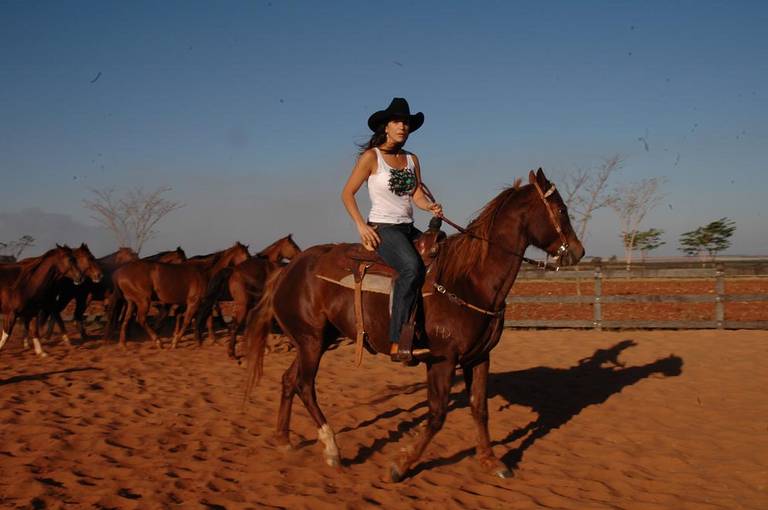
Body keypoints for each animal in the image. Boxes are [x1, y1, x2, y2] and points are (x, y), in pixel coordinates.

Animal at [243, 170, 584, 482]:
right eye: (561, 209)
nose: (578, 251)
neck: (470, 279)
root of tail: (289, 270)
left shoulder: (479, 357)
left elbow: (479, 408)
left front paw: (490, 460)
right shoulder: (442, 360)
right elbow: (437, 415)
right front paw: (402, 464)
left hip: (314, 340)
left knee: (289, 380)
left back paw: (284, 439)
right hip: (311, 341)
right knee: (304, 385)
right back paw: (332, 449)